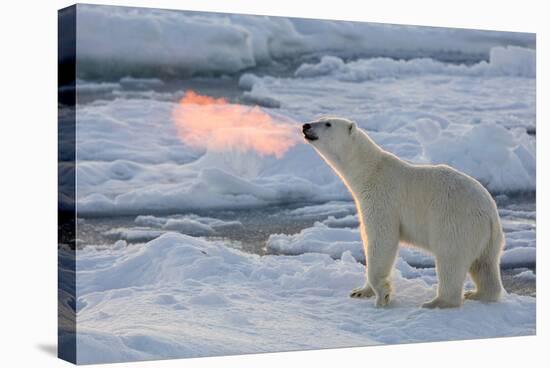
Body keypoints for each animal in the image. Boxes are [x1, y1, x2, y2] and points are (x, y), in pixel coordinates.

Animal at [304, 118, 506, 308]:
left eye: (327, 123)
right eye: (318, 118)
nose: (306, 126)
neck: (369, 171)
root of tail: (490, 213)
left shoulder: (382, 198)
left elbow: (381, 239)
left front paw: (383, 295)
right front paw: (360, 291)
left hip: (456, 222)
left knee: (451, 259)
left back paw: (437, 302)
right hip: (487, 238)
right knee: (484, 265)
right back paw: (477, 294)